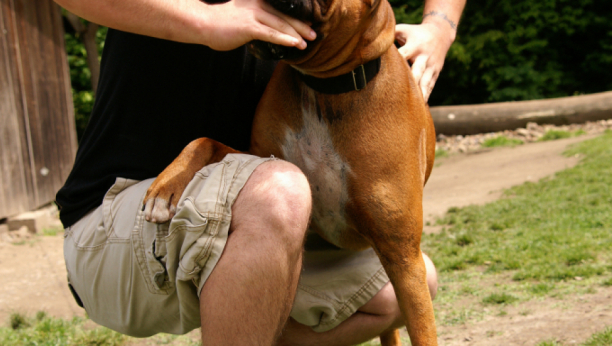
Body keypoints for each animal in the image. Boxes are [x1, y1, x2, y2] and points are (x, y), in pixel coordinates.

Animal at [143, 0, 438, 344]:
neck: (323, 91)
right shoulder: (260, 158)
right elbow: (203, 141)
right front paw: (165, 187)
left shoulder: (403, 258)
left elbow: (423, 332)